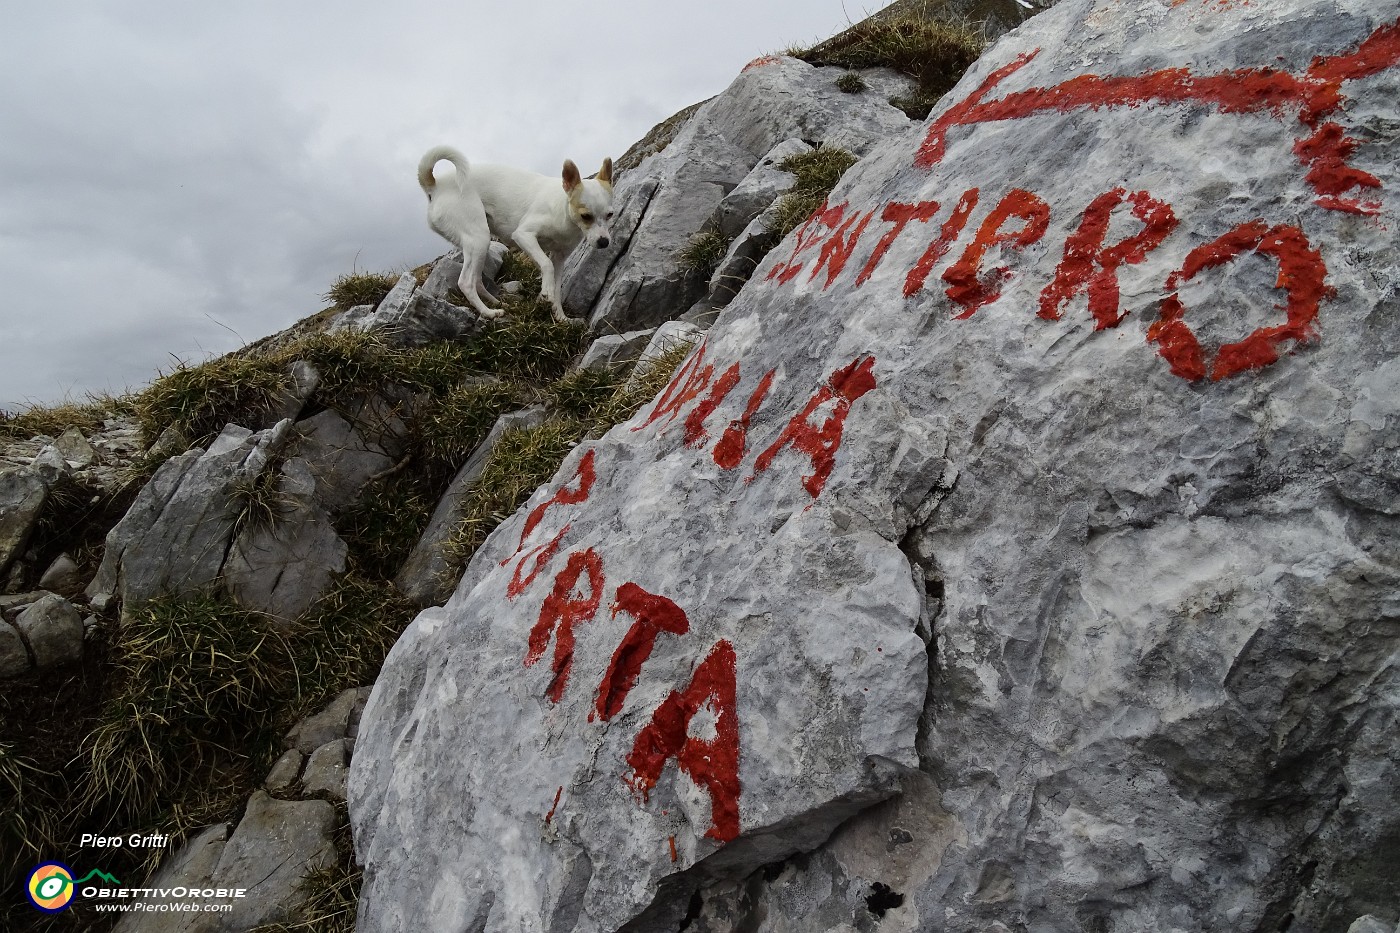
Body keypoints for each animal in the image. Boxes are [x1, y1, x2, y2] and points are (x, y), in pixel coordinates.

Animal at [414, 143, 613, 322]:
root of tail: (436, 186)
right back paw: (488, 312)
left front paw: (560, 316)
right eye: (586, 216)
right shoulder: (524, 236)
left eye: (610, 214)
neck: (564, 214)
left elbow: (557, 287)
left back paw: (496, 303)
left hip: (480, 245)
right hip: (479, 239)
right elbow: (546, 264)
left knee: (477, 280)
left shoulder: (560, 256)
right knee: (466, 282)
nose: (604, 242)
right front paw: (546, 292)